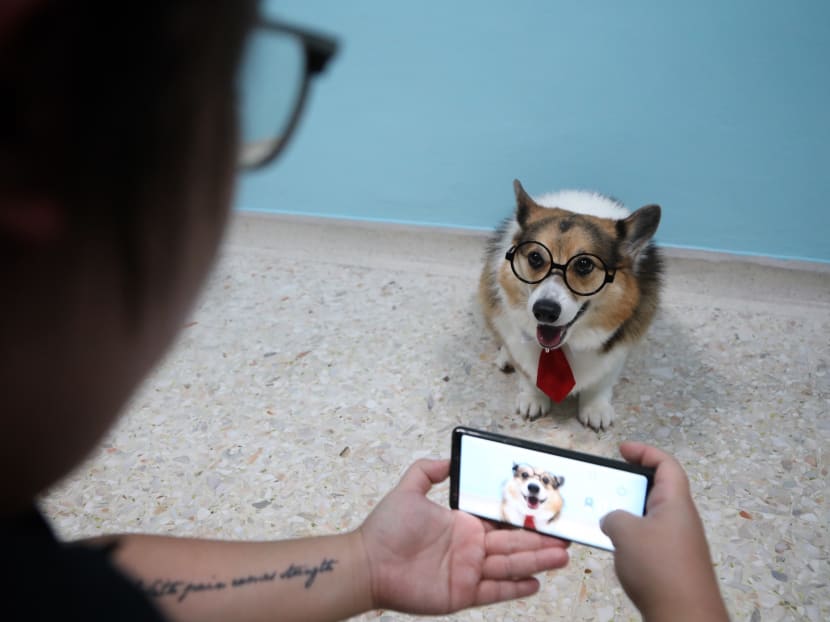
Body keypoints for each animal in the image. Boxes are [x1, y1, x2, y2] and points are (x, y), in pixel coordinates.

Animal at [480, 180, 664, 432]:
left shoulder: (619, 349)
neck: (559, 348)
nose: (544, 310)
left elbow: (602, 380)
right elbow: (527, 372)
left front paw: (595, 407)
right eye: (535, 257)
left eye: (584, 264)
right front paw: (533, 397)